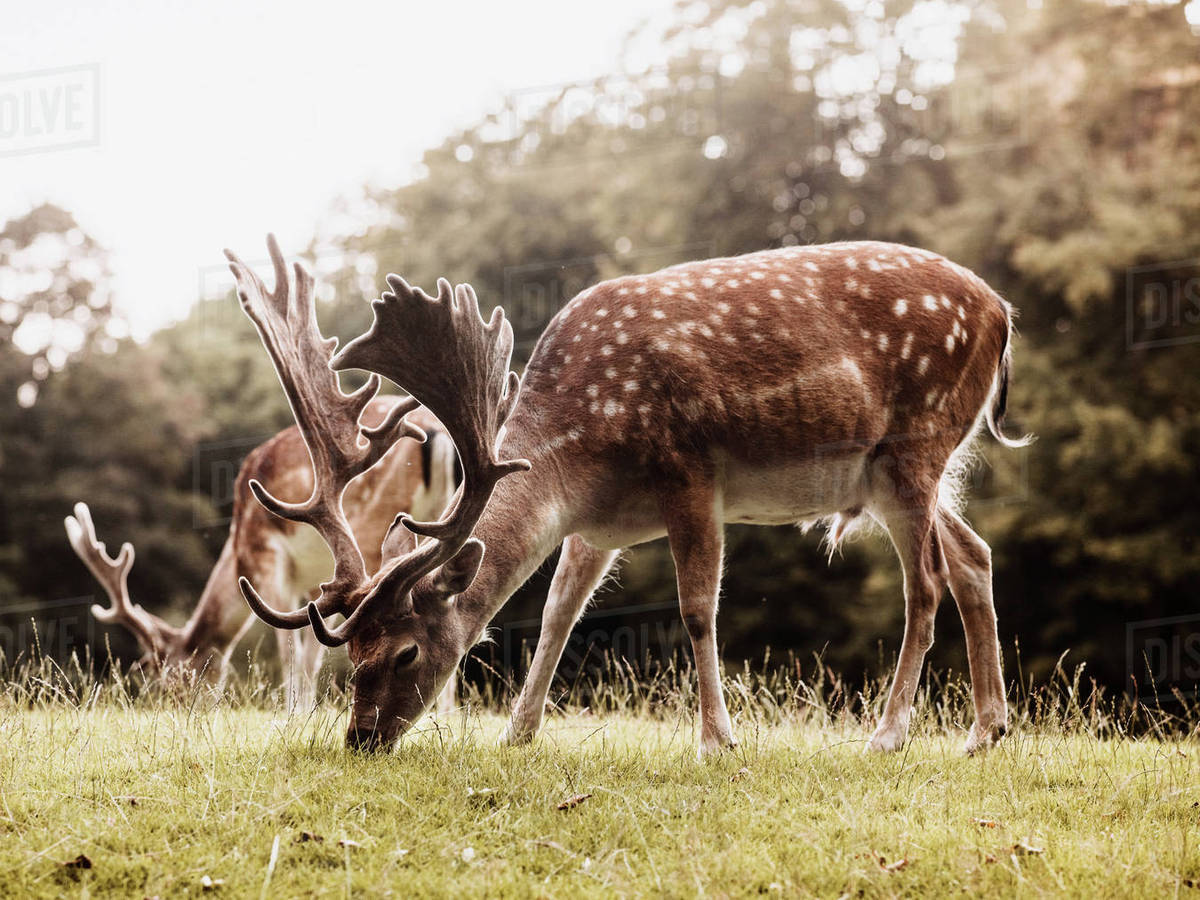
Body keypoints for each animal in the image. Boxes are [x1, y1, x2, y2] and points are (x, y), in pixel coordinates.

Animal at [64, 356, 460, 712]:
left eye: (173, 678)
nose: (173, 709)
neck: (236, 547)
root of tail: (437, 436)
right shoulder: (312, 582)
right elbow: (311, 647)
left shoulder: (267, 558)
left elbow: (291, 647)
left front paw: (292, 716)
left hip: (372, 527)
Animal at [225, 234, 1028, 756]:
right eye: (350, 653)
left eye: (403, 654)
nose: (360, 738)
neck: (580, 461)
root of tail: (1002, 314)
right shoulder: (596, 526)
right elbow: (557, 612)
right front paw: (517, 734)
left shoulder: (690, 473)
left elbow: (697, 608)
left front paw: (716, 741)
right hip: (901, 471)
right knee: (974, 555)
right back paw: (986, 731)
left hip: (916, 443)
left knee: (926, 581)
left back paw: (889, 736)